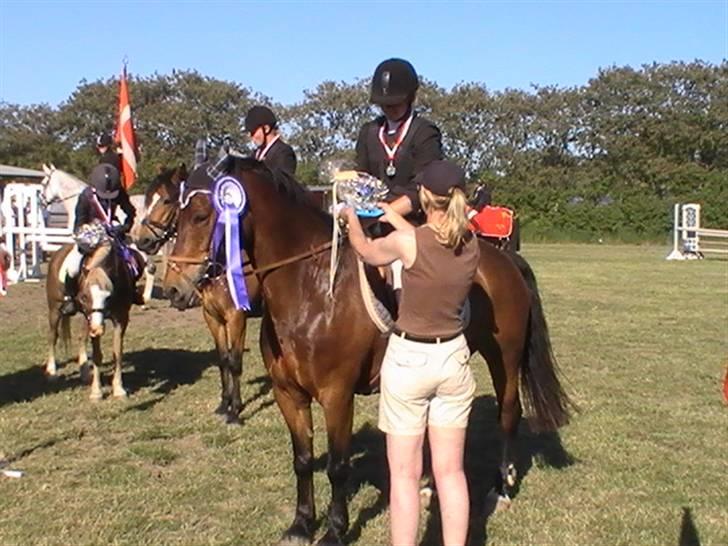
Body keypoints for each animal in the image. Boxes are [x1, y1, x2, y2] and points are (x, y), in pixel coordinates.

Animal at [136, 163, 262, 420]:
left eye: (166, 201)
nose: (143, 241)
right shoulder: (212, 316)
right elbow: (223, 358)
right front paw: (224, 404)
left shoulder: (237, 317)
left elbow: (235, 360)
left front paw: (236, 409)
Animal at [165, 157, 576, 544]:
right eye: (175, 217)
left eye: (201, 215)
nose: (173, 289)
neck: (312, 290)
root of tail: (505, 258)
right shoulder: (288, 393)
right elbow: (302, 459)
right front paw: (300, 525)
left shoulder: (337, 395)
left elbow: (337, 466)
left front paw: (334, 531)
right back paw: (430, 487)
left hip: (503, 357)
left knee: (508, 413)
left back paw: (501, 488)